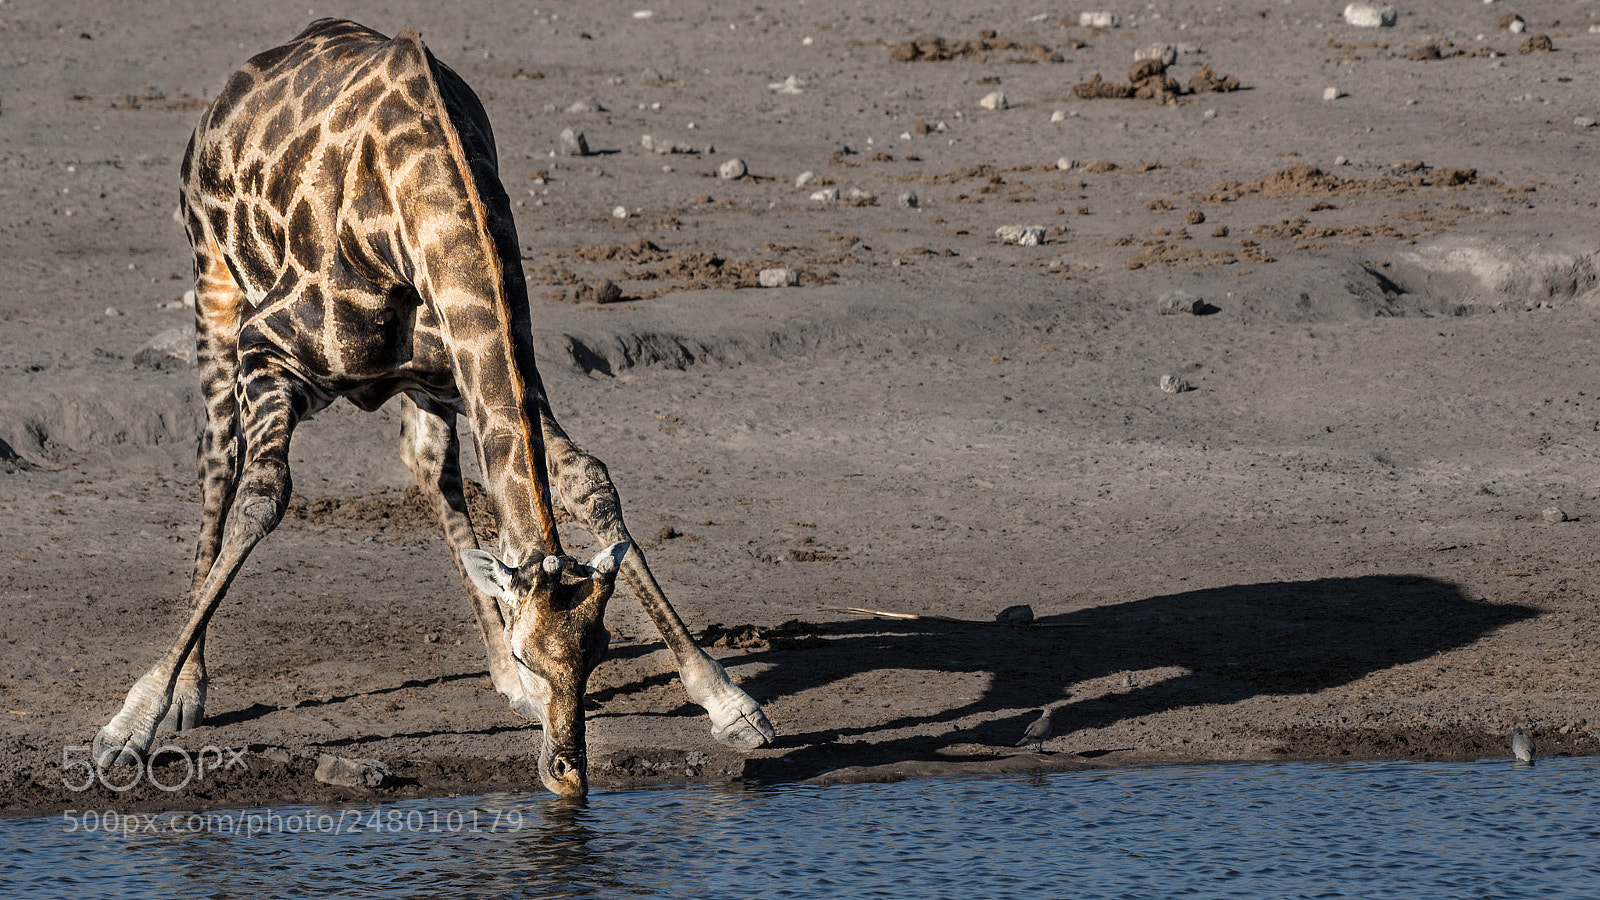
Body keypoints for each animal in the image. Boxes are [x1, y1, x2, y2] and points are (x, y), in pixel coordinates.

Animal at [93, 18, 774, 797]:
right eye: (537, 652)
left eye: (598, 652)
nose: (568, 772)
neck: (422, 204)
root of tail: (226, 97)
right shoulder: (268, 353)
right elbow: (262, 499)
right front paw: (128, 726)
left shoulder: (489, 371)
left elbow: (586, 481)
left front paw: (728, 701)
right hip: (215, 291)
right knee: (219, 463)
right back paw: (186, 691)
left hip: (428, 389)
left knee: (428, 467)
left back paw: (500, 680)